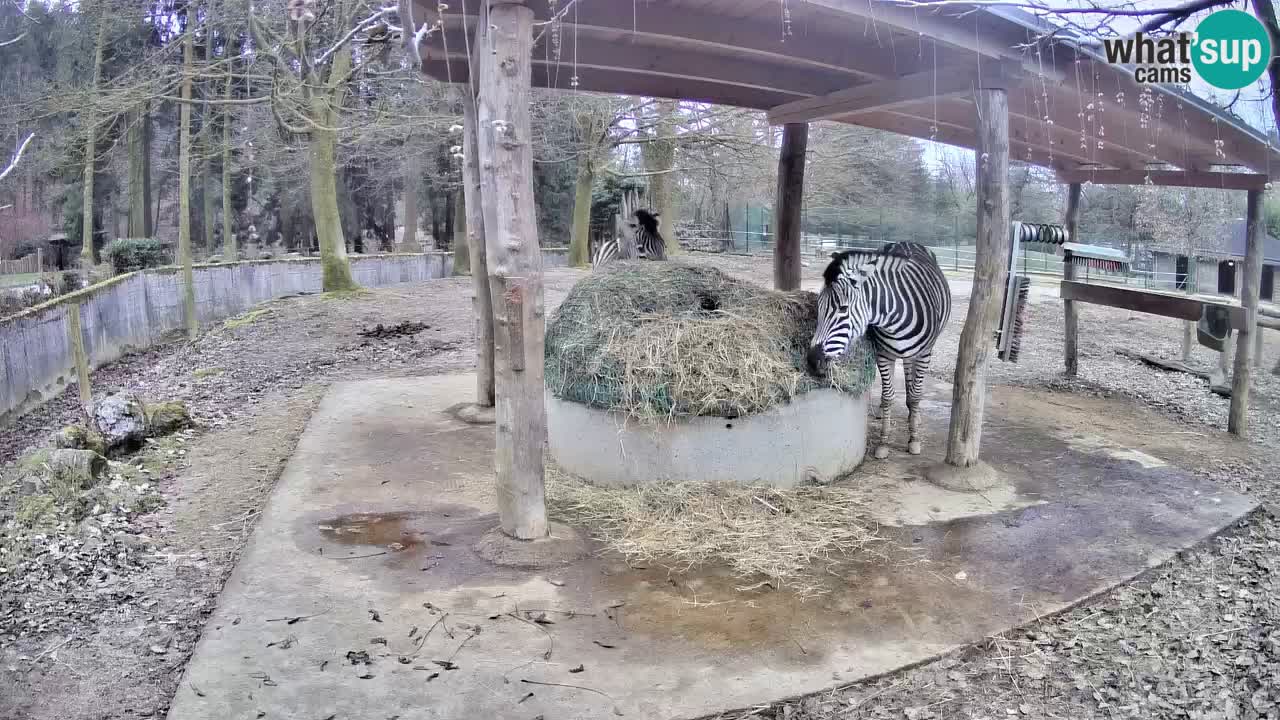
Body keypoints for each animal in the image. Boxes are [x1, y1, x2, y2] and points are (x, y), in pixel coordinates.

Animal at [808, 238, 952, 456]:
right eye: (819, 306)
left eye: (843, 308)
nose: (812, 362)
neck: (893, 317)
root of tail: (907, 242)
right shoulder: (883, 354)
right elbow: (888, 395)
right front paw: (884, 441)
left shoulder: (925, 354)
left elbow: (916, 395)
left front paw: (914, 438)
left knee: (913, 383)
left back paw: (914, 415)